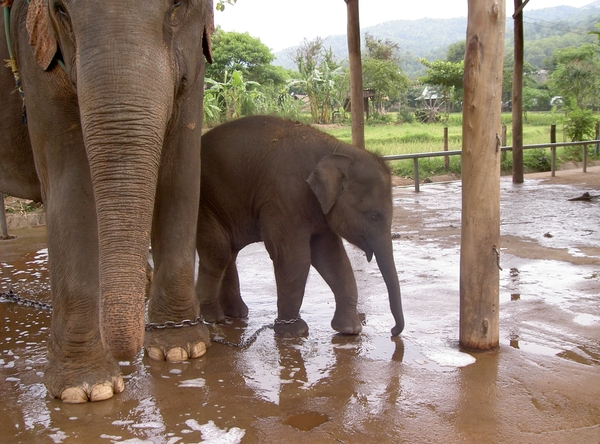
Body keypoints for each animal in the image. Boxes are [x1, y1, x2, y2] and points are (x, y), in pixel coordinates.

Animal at [0, 0, 214, 402]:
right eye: (61, 10)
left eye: (178, 5)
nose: (129, 355)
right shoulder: (36, 65)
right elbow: (71, 185)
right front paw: (86, 387)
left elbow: (180, 170)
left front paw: (182, 348)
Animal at [196, 114, 404, 336]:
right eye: (374, 216)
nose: (393, 331)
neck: (337, 149)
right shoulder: (286, 196)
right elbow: (293, 257)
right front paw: (295, 331)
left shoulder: (320, 210)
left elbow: (331, 257)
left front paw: (350, 329)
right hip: (202, 200)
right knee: (219, 251)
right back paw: (214, 317)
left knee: (229, 252)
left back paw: (236, 313)